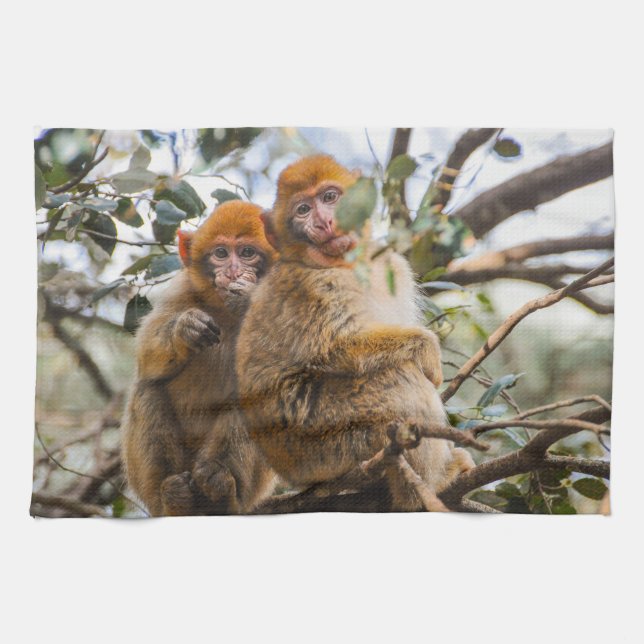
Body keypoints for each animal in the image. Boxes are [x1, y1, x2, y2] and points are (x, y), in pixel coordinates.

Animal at [121, 200, 278, 516]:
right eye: (221, 253)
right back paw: (173, 496)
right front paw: (184, 330)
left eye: (247, 253)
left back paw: (221, 491)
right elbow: (146, 359)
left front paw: (248, 297)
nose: (232, 271)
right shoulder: (183, 290)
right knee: (148, 388)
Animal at [236, 155, 473, 511]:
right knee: (398, 379)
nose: (324, 221)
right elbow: (338, 349)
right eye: (302, 210)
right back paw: (426, 487)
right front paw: (428, 350)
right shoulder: (315, 287)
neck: (347, 264)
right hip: (323, 443)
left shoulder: (392, 265)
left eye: (329, 197)